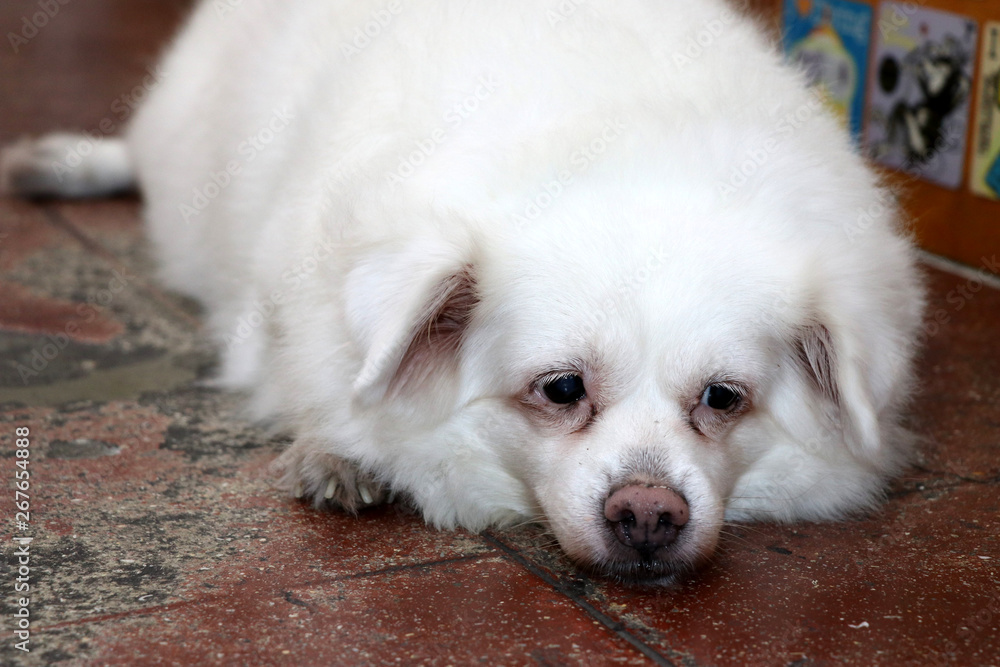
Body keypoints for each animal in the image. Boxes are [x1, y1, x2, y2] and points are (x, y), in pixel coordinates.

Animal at [0, 0, 924, 580]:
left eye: (723, 398)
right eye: (561, 388)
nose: (648, 514)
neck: (629, 145)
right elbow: (317, 379)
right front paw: (338, 450)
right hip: (181, 142)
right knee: (136, 156)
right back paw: (66, 163)